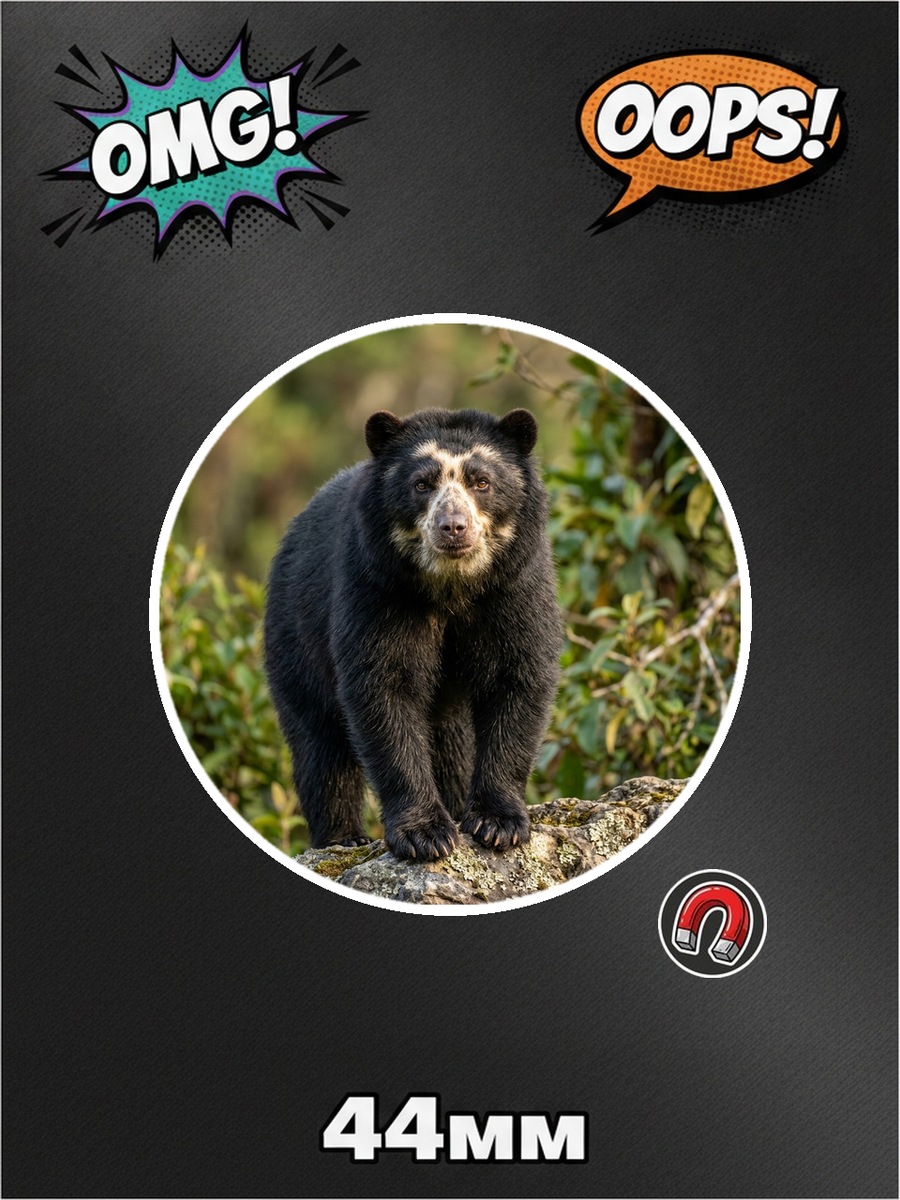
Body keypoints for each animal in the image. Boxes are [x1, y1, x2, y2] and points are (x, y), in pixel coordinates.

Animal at [264, 406, 562, 862]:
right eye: (422, 484)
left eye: (481, 482)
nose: (453, 526)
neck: (453, 584)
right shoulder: (379, 587)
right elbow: (384, 689)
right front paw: (426, 835)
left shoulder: (515, 585)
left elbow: (518, 675)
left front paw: (498, 824)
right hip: (295, 639)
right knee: (321, 744)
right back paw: (342, 837)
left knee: (451, 746)